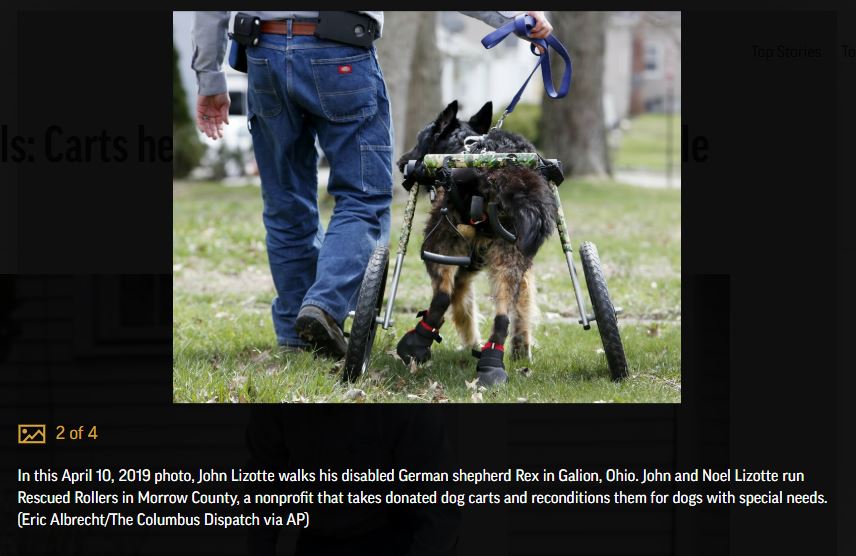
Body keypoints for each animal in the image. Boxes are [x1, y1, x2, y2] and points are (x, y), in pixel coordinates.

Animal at [396, 101, 560, 386]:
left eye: (419, 141)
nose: (401, 162)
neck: (462, 145)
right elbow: (521, 308)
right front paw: (520, 349)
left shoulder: (459, 263)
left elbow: (461, 305)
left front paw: (471, 342)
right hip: (508, 256)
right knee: (502, 315)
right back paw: (492, 364)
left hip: (440, 240)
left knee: (441, 297)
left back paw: (416, 343)